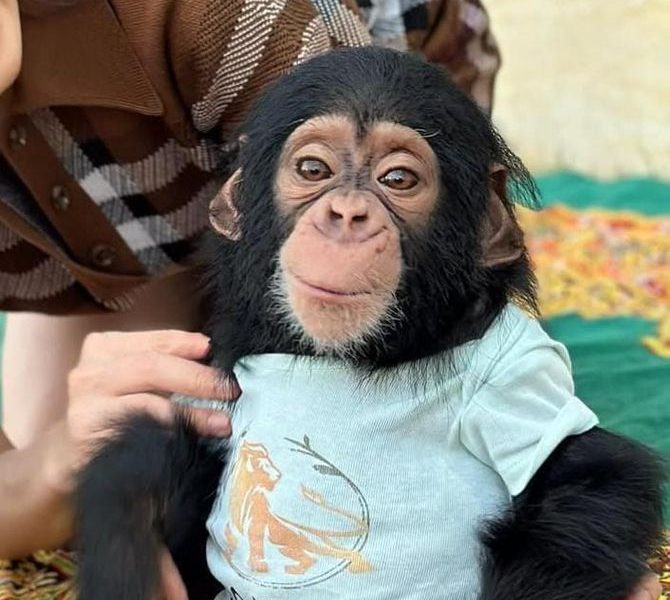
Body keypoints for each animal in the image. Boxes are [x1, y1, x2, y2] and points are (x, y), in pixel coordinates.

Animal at [75, 47, 665, 600]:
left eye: (398, 179)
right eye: (313, 170)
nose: (347, 215)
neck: (349, 354)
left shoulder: (515, 373)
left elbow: (584, 474)